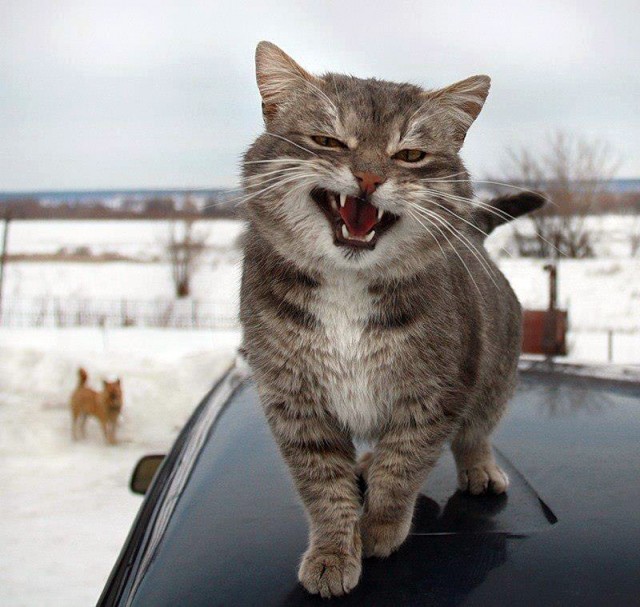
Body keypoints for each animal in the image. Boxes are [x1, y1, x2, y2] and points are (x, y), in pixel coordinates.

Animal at [239, 41, 543, 598]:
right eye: (328, 141)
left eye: (410, 155)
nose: (369, 177)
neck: (348, 288)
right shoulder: (295, 404)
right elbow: (323, 486)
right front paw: (335, 550)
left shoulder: (433, 398)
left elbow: (401, 469)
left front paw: (379, 527)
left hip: (494, 381)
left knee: (474, 435)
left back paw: (478, 468)